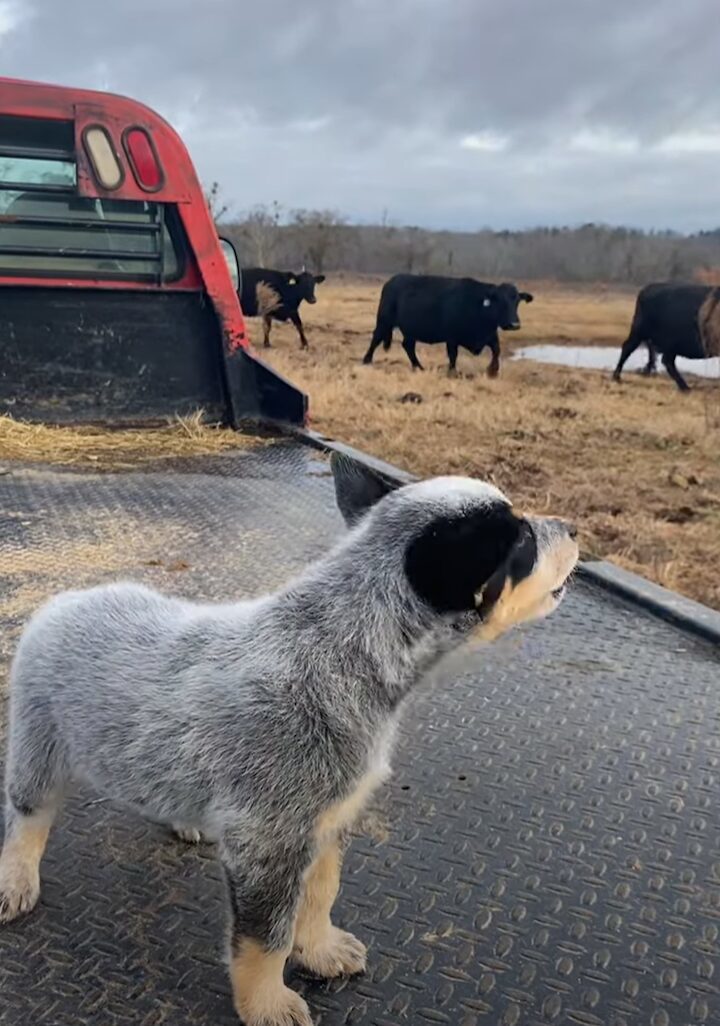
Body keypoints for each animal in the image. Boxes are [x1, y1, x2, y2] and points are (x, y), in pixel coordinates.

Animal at [0, 459, 578, 1026]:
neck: (342, 651)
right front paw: (267, 1003)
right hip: (37, 740)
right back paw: (16, 880)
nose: (574, 528)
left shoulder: (328, 819)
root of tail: (71, 596)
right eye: (524, 539)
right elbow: (267, 939)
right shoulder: (268, 841)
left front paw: (319, 950)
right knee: (30, 817)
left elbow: (320, 895)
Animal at [363, 274, 533, 375]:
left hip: (410, 330)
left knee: (408, 346)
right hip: (384, 321)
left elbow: (497, 350)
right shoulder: (451, 337)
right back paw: (366, 360)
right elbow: (453, 355)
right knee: (376, 338)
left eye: (517, 301)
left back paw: (419, 367)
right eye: (499, 300)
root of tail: (393, 280)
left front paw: (493, 370)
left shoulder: (490, 335)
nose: (514, 324)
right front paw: (452, 372)